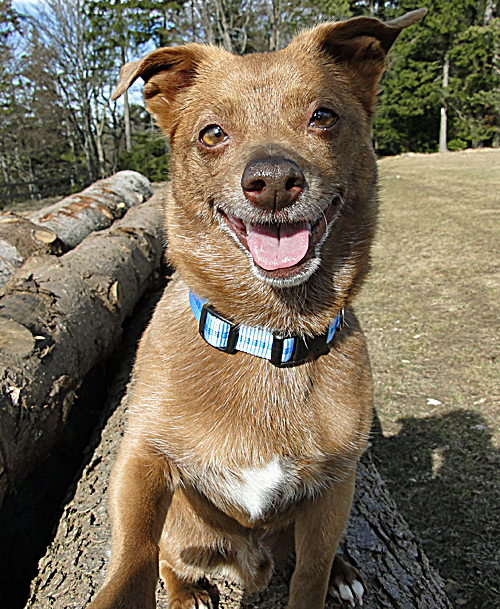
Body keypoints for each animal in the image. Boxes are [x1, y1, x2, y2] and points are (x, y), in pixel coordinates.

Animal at [89, 9, 426, 608]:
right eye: (212, 134)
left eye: (323, 117)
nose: (272, 181)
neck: (266, 335)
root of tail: (247, 563)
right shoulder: (142, 458)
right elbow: (133, 553)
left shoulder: (334, 489)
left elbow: (310, 573)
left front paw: (328, 576)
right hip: (186, 531)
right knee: (171, 561)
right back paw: (189, 593)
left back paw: (343, 571)